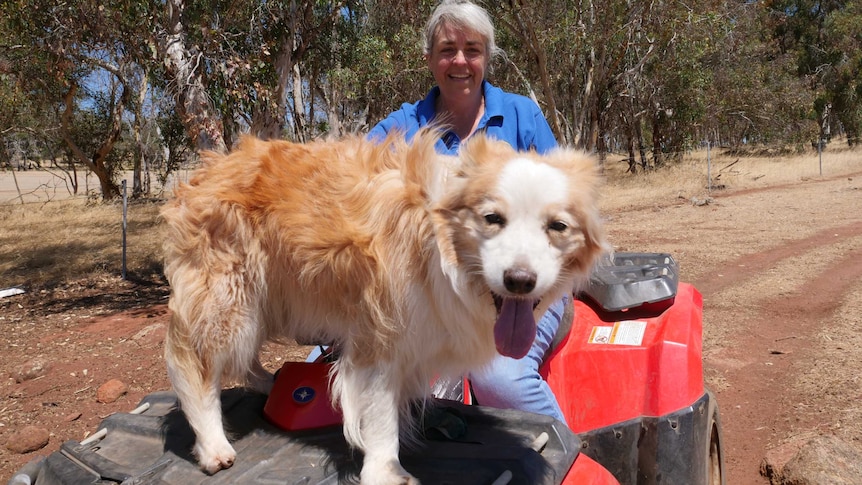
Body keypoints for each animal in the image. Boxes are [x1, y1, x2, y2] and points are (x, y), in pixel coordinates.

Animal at [162, 130, 608, 484]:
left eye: (558, 226)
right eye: (492, 218)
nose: (519, 281)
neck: (439, 247)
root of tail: (205, 171)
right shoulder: (377, 335)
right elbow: (379, 415)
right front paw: (385, 470)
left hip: (266, 299)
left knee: (243, 359)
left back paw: (271, 384)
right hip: (227, 301)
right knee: (194, 368)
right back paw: (213, 444)